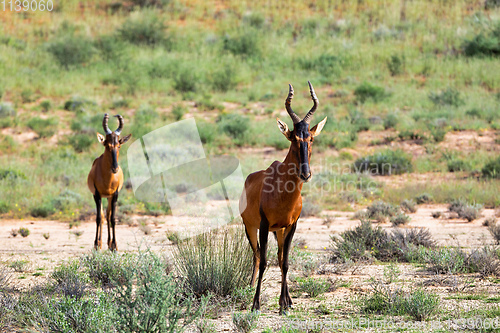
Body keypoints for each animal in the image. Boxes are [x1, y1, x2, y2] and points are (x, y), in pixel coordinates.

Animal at [87, 114, 131, 249]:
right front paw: (96, 245)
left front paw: (115, 246)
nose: (115, 168)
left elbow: (112, 218)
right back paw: (100, 243)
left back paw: (109, 244)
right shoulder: (96, 194)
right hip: (101, 196)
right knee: (102, 215)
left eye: (119, 145)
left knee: (107, 215)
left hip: (109, 197)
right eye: (107, 145)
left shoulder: (115, 195)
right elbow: (98, 218)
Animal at [239, 81, 328, 312]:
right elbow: (264, 262)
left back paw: (286, 300)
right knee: (257, 256)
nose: (306, 174)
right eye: (293, 138)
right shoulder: (263, 225)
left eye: (310, 138)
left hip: (278, 231)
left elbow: (285, 262)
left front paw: (285, 304)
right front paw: (256, 304)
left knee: (278, 258)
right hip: (250, 227)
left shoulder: (292, 226)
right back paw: (250, 289)